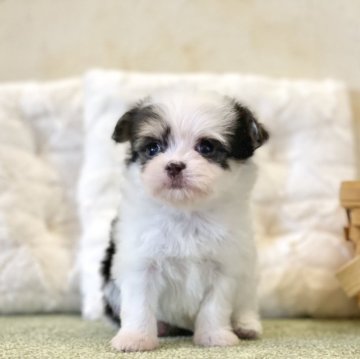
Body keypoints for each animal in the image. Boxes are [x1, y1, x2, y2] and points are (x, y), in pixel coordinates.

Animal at [100, 89, 268, 352]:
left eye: (206, 147)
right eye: (153, 148)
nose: (174, 166)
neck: (186, 213)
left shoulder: (225, 266)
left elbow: (215, 306)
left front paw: (214, 337)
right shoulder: (140, 263)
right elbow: (138, 304)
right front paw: (135, 339)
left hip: (249, 276)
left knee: (246, 304)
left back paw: (245, 326)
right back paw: (160, 327)